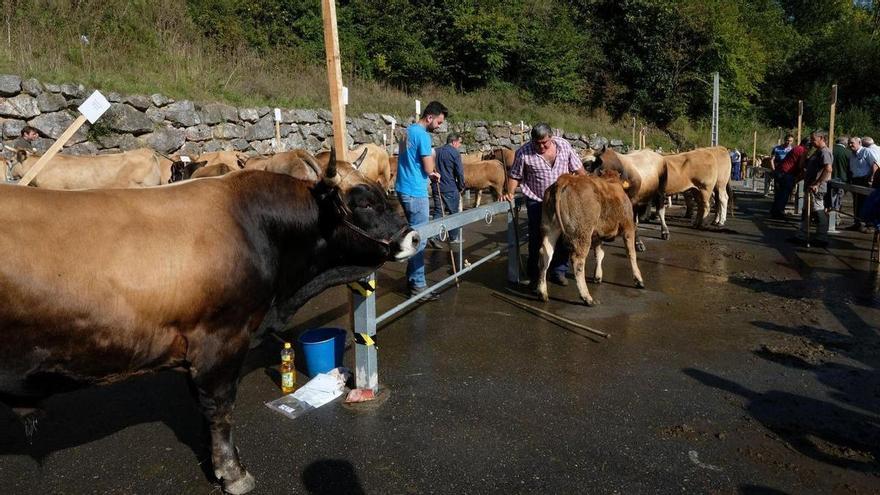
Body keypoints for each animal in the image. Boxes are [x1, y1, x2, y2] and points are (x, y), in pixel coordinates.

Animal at [536, 171, 648, 306]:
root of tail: (565, 178)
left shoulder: (597, 235)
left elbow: (599, 254)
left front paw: (598, 276)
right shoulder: (628, 227)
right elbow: (631, 254)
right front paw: (638, 279)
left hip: (550, 228)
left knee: (545, 255)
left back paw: (542, 293)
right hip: (582, 233)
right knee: (578, 261)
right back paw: (586, 297)